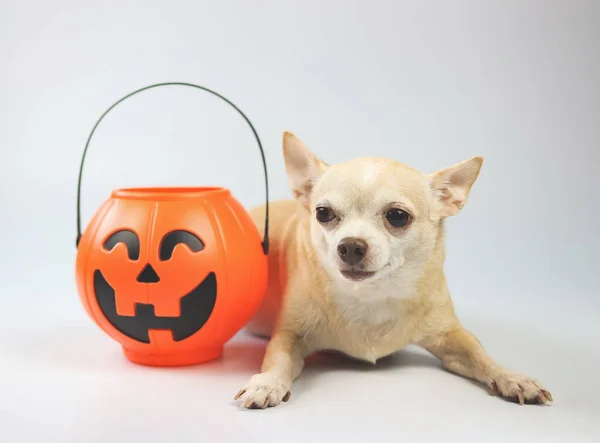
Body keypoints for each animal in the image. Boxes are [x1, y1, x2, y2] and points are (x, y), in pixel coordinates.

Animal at [232, 131, 552, 410]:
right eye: (323, 213)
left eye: (397, 216)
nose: (350, 246)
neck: (372, 296)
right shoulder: (290, 334)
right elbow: (279, 359)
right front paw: (267, 383)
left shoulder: (452, 335)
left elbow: (480, 354)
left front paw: (512, 377)